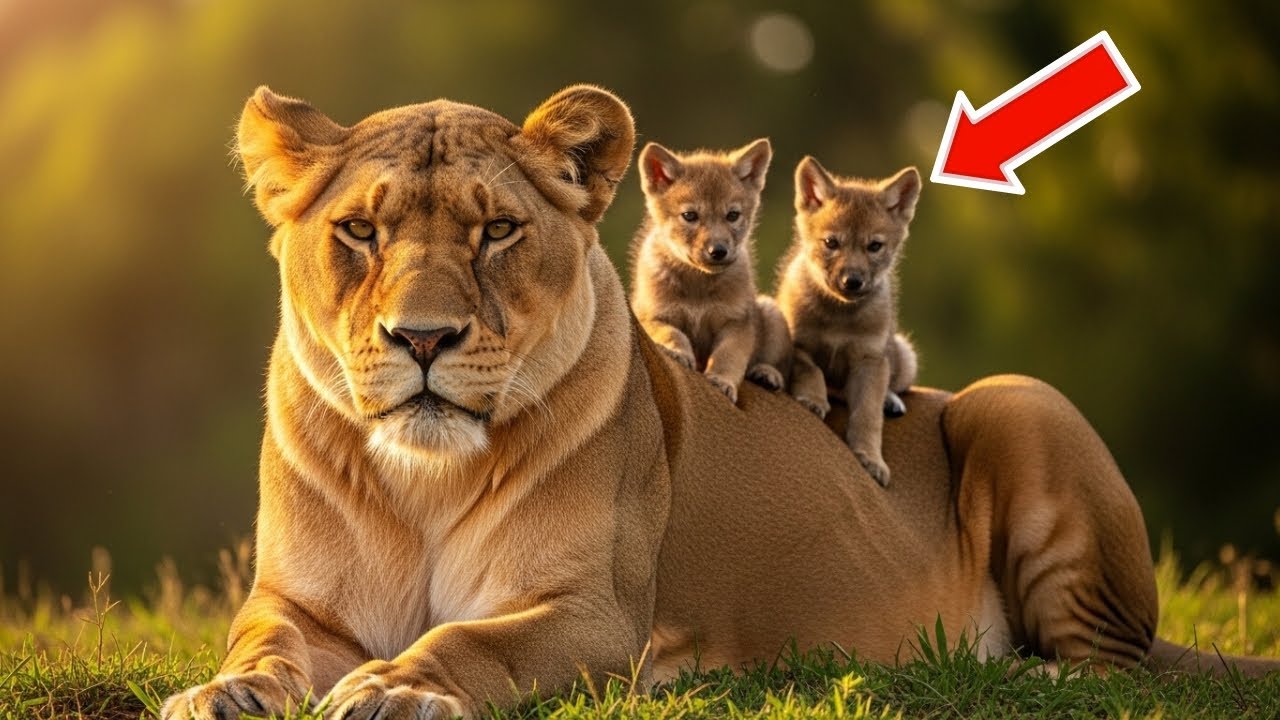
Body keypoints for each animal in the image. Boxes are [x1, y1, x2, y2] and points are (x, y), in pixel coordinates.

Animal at [162, 85, 1277, 719]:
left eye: (497, 232)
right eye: (359, 231)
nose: (423, 339)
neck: (422, 478)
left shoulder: (598, 615)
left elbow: (476, 639)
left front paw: (398, 686)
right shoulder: (296, 603)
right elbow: (264, 644)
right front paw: (226, 692)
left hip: (1021, 400)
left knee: (1115, 662)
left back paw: (1024, 677)